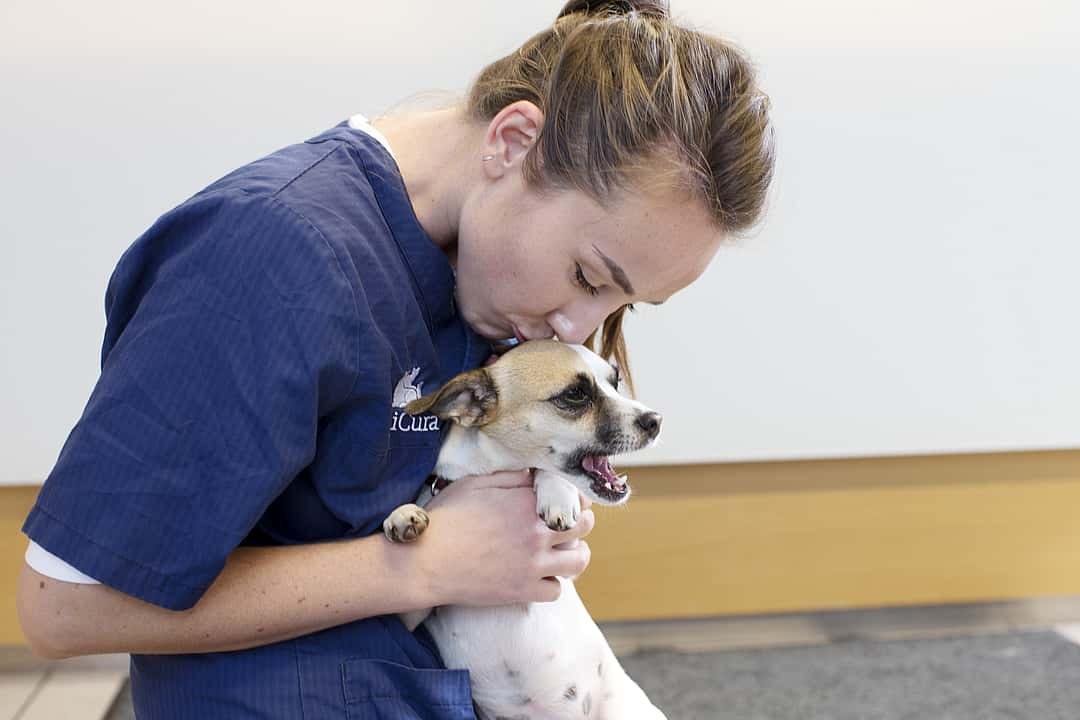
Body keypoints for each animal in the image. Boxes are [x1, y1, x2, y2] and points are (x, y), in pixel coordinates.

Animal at [380, 341, 665, 720]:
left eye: (614, 382)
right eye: (575, 395)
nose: (656, 420)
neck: (486, 469)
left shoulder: (565, 557)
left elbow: (544, 470)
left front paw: (556, 495)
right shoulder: (410, 614)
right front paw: (403, 516)